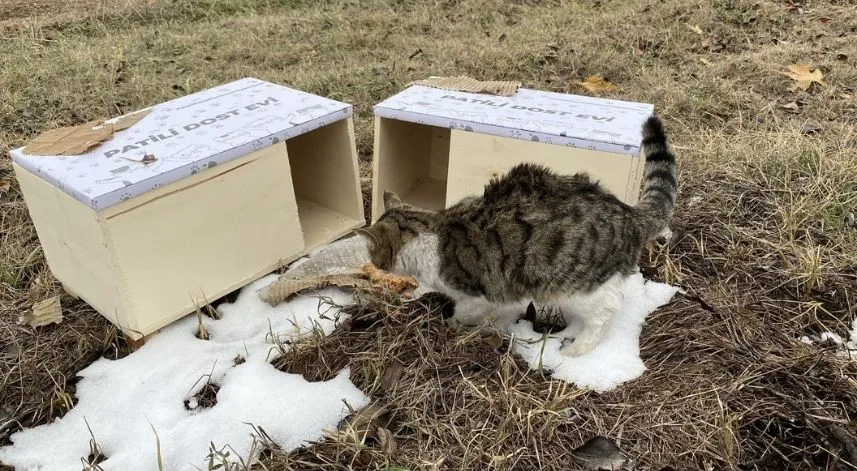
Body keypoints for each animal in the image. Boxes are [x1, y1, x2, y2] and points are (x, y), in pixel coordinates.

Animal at [356, 115, 676, 358]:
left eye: (373, 254)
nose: (370, 264)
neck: (431, 227)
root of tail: (630, 214)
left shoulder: (480, 293)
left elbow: (465, 312)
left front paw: (453, 324)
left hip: (577, 287)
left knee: (605, 314)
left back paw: (577, 348)